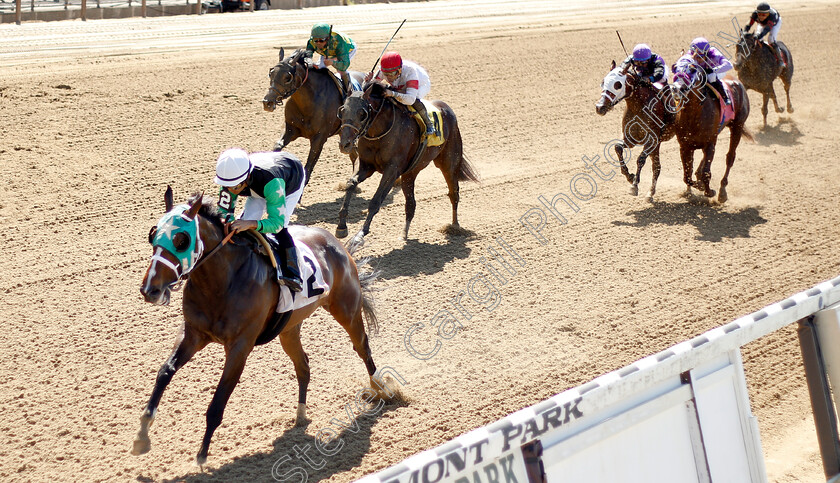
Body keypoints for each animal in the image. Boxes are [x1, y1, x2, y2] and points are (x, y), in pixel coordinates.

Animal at [132, 188, 388, 466]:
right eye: (153, 235)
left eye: (181, 240)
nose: (150, 289)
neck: (222, 282)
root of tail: (336, 243)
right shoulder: (193, 334)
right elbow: (165, 372)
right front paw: (142, 435)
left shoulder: (239, 348)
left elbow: (218, 401)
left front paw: (201, 455)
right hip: (289, 329)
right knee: (303, 364)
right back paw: (300, 414)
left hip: (346, 309)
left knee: (362, 347)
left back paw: (382, 390)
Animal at [262, 48, 364, 182]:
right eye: (271, 73)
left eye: (288, 77)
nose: (267, 102)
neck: (308, 104)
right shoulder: (291, 129)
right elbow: (277, 146)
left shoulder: (319, 138)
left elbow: (308, 168)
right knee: (354, 154)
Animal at [336, 82, 480, 246]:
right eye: (342, 111)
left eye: (362, 114)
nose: (345, 144)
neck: (379, 133)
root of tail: (447, 109)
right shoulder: (365, 165)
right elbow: (351, 184)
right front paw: (341, 226)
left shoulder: (392, 170)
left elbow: (376, 200)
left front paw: (360, 234)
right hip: (409, 174)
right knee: (411, 204)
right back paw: (404, 234)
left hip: (449, 164)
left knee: (453, 193)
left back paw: (454, 226)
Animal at [596, 60, 676, 200]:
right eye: (603, 81)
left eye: (617, 84)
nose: (600, 107)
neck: (639, 107)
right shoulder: (631, 139)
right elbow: (617, 147)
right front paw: (630, 177)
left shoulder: (652, 140)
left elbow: (640, 159)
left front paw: (634, 185)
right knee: (657, 167)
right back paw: (650, 193)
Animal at [668, 62, 756, 202]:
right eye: (675, 69)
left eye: (692, 70)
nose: (677, 88)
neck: (694, 114)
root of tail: (737, 82)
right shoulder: (685, 145)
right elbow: (687, 174)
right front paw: (696, 187)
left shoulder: (710, 143)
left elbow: (706, 173)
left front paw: (709, 191)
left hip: (737, 126)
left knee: (730, 157)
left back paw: (722, 191)